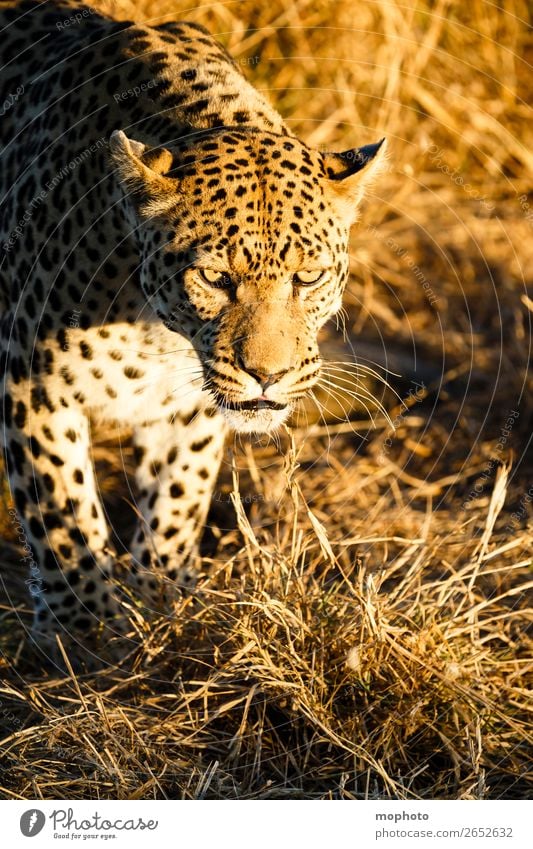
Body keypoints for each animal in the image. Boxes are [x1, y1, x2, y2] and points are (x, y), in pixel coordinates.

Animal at [0, 0, 384, 652]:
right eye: (215, 278)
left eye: (307, 278)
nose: (267, 375)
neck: (151, 326)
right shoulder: (33, 386)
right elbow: (63, 515)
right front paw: (87, 635)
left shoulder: (189, 406)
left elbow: (177, 500)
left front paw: (164, 602)